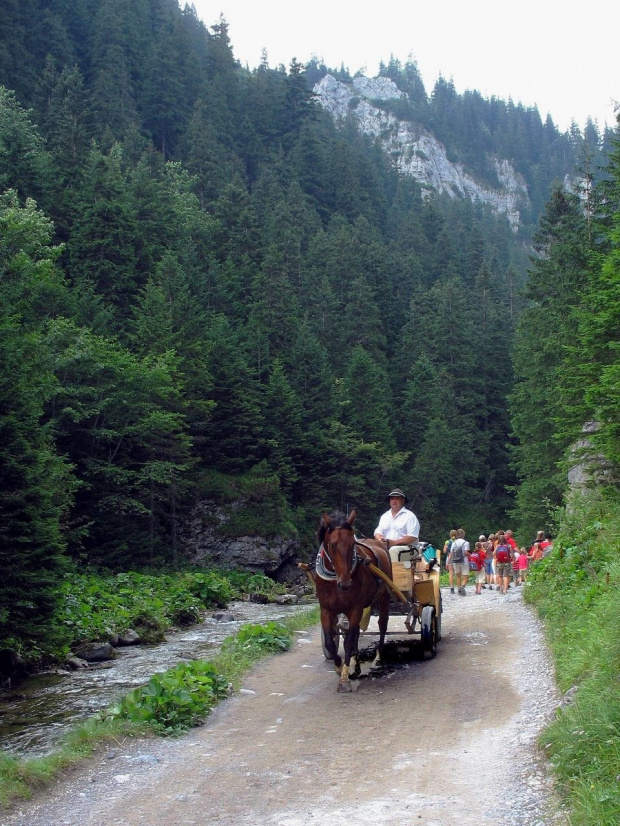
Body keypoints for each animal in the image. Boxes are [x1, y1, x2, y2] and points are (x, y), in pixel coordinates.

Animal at [314, 508, 392, 688]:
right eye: (333, 544)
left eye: (352, 544)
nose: (345, 583)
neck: (334, 579)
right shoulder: (326, 610)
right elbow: (331, 641)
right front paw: (338, 667)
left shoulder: (354, 608)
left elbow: (349, 641)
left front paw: (344, 678)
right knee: (354, 632)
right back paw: (356, 666)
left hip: (384, 597)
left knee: (382, 626)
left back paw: (378, 657)